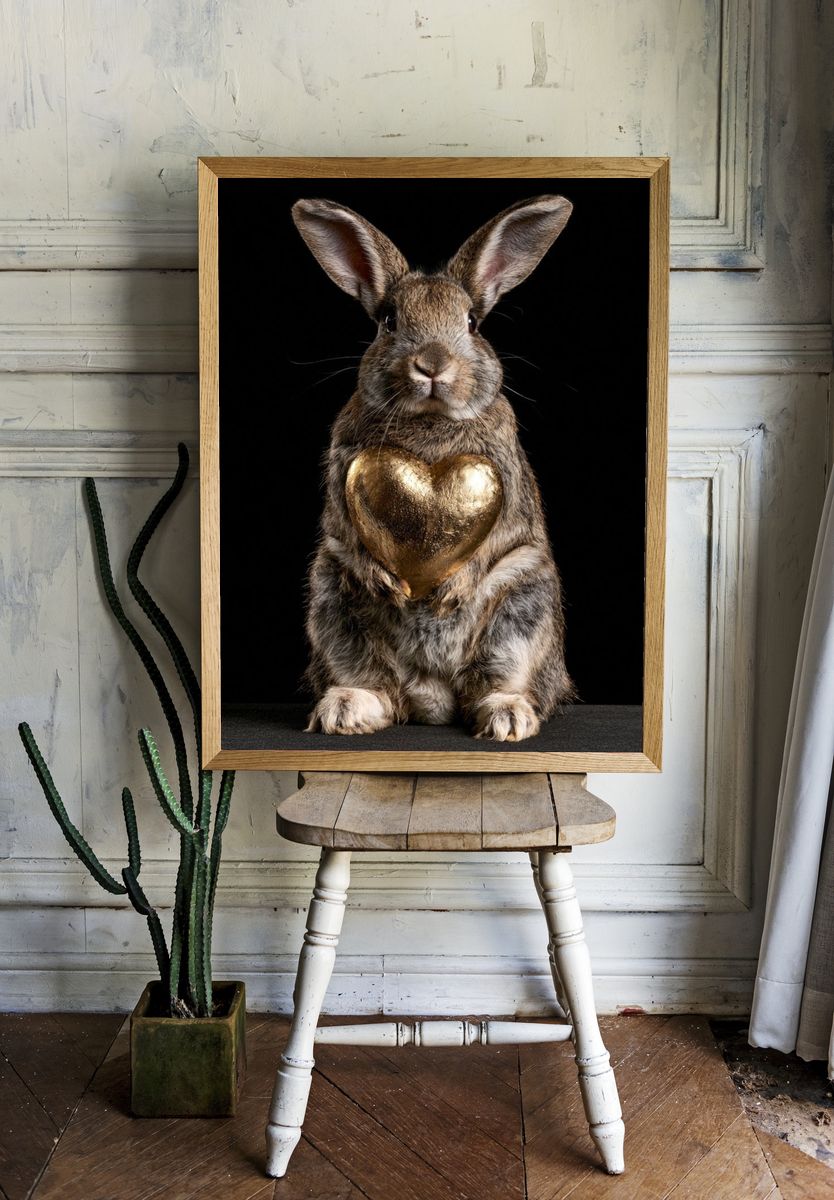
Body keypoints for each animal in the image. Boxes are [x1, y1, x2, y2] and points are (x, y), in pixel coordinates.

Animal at [292, 192, 576, 741]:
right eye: (388, 321)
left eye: (472, 323)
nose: (432, 363)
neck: (429, 422)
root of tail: (432, 697)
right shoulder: (342, 479)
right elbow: (349, 529)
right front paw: (386, 582)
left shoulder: (504, 481)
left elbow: (491, 540)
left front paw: (449, 592)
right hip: (331, 600)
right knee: (377, 686)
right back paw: (346, 709)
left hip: (523, 609)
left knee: (502, 682)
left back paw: (507, 717)